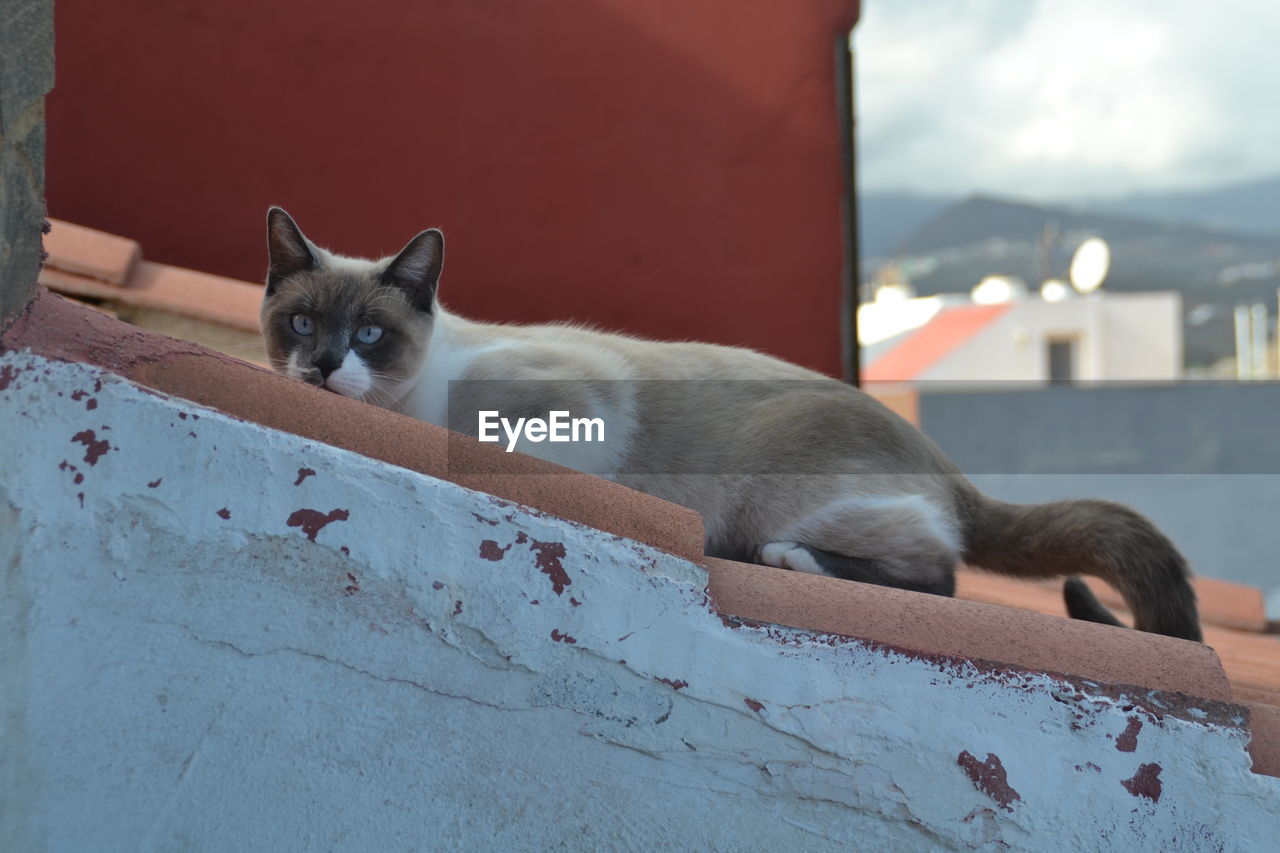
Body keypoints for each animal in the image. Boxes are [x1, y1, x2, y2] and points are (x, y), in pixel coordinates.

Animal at [257, 208, 1198, 640]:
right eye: (301, 324)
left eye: (369, 334)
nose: (321, 367)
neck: (411, 398)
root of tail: (930, 447)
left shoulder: (577, 407)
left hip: (785, 498)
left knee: (938, 574)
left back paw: (787, 560)